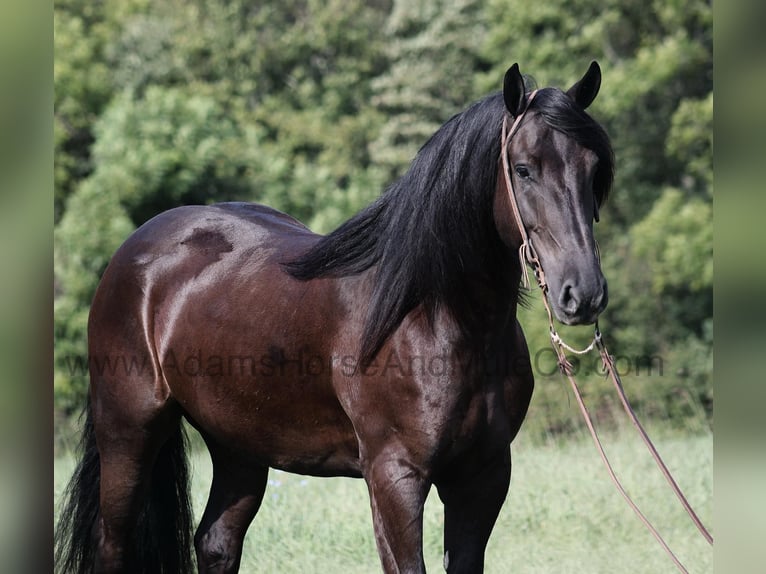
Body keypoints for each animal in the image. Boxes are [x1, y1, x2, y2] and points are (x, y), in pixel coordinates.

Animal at [55, 61, 613, 573]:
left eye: (592, 169)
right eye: (523, 168)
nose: (582, 292)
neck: (435, 318)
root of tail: (136, 250)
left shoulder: (484, 476)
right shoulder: (394, 477)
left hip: (238, 445)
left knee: (216, 542)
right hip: (128, 432)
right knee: (112, 544)